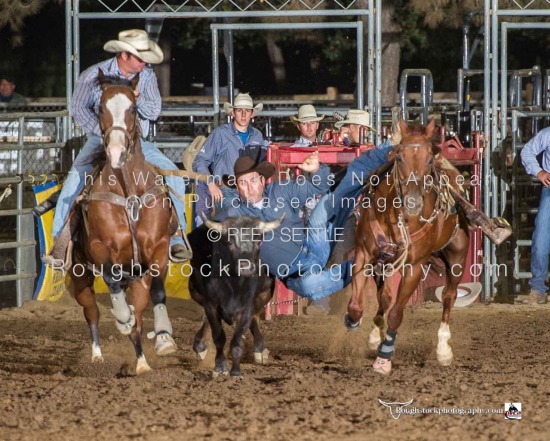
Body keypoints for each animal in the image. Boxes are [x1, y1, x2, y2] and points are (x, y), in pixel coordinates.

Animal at [69, 70, 177, 372]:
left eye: (133, 109)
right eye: (100, 108)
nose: (116, 150)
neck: (129, 192)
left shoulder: (159, 248)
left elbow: (159, 293)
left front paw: (164, 338)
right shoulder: (101, 248)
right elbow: (111, 282)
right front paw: (121, 316)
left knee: (139, 315)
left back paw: (141, 361)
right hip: (79, 274)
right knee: (92, 311)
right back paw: (98, 354)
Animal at [344, 118, 470, 372]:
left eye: (429, 159)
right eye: (399, 157)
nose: (413, 201)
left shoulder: (414, 267)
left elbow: (396, 314)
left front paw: (384, 357)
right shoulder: (364, 255)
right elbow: (358, 305)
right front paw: (355, 322)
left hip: (458, 256)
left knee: (449, 296)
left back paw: (443, 350)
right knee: (384, 296)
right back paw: (375, 334)